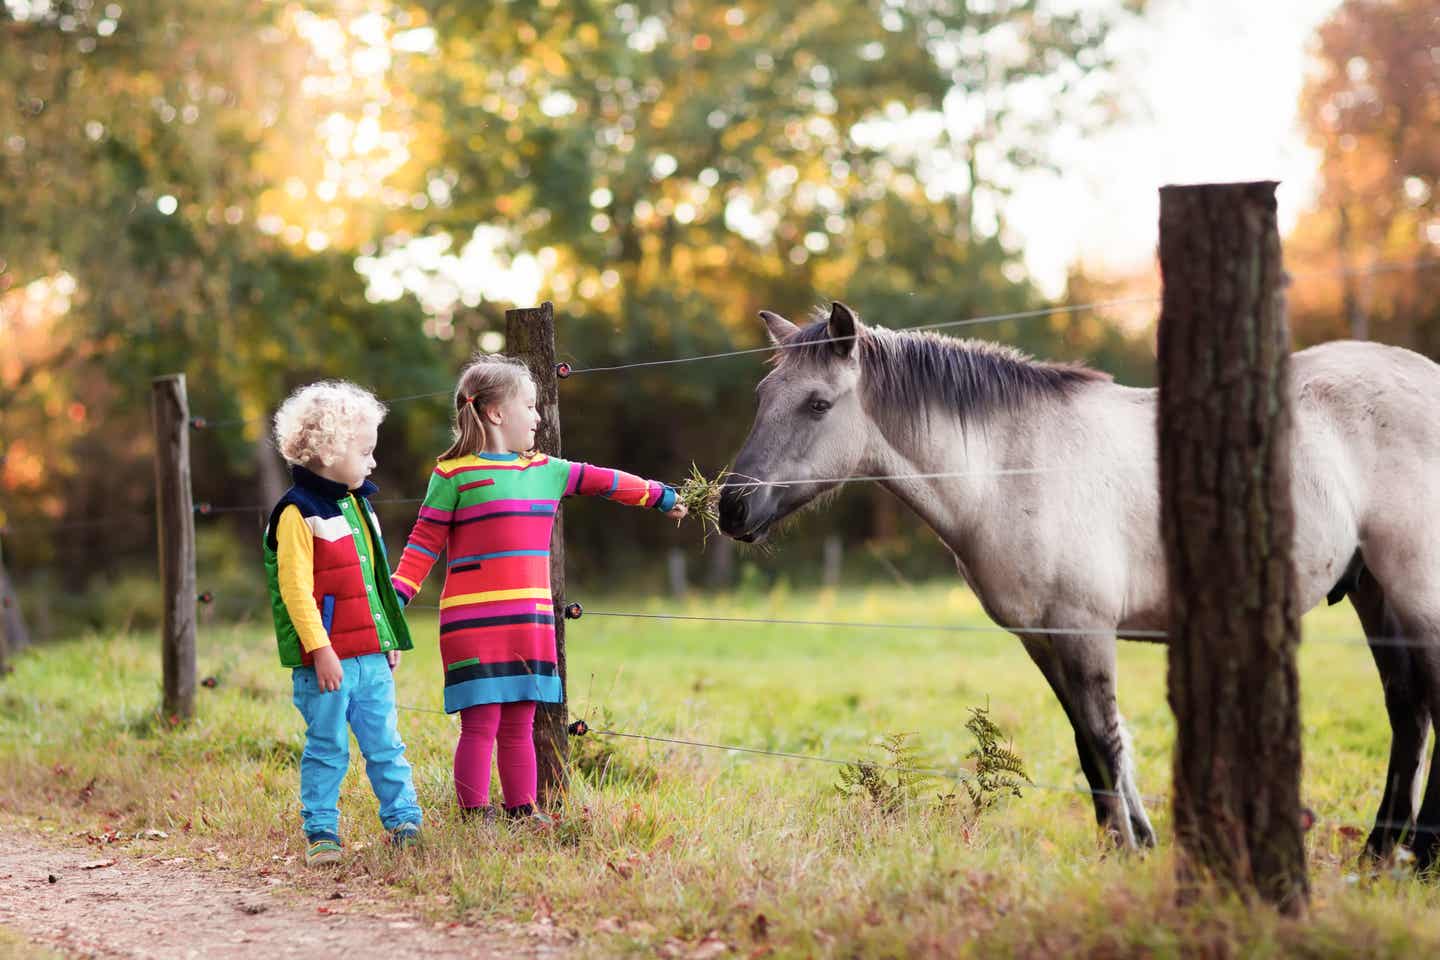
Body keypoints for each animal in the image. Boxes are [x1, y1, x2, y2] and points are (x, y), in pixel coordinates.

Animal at [717, 296, 1440, 869]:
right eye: (760, 399)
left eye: (817, 404)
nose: (732, 507)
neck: (1012, 468)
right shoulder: (1042, 637)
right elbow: (1089, 746)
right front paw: (1129, 845)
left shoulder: (1085, 630)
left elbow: (1106, 737)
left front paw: (1128, 849)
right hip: (1374, 592)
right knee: (1408, 712)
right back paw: (1380, 851)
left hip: (1414, 592)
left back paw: (1421, 855)